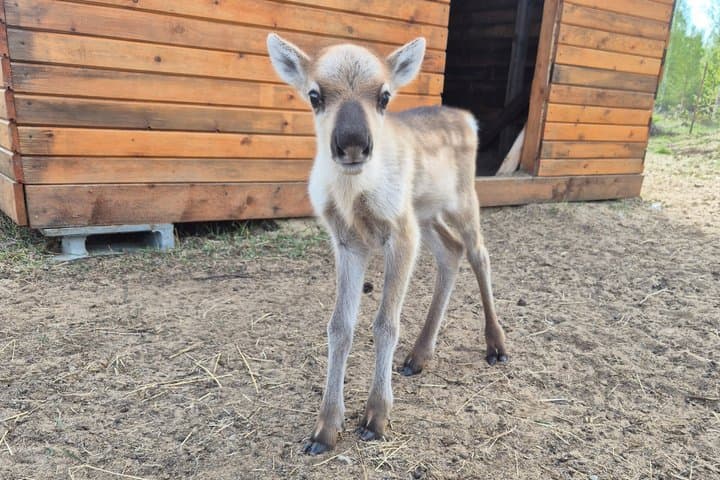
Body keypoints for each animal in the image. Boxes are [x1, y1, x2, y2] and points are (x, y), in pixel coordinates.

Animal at [267, 33, 509, 455]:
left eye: (384, 96)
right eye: (314, 95)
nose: (352, 143)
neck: (354, 196)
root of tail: (469, 119)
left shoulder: (399, 232)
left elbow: (384, 323)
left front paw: (376, 416)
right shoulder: (348, 241)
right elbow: (339, 326)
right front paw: (326, 428)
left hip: (463, 199)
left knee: (479, 253)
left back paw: (496, 344)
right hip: (424, 213)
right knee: (451, 251)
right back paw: (419, 355)